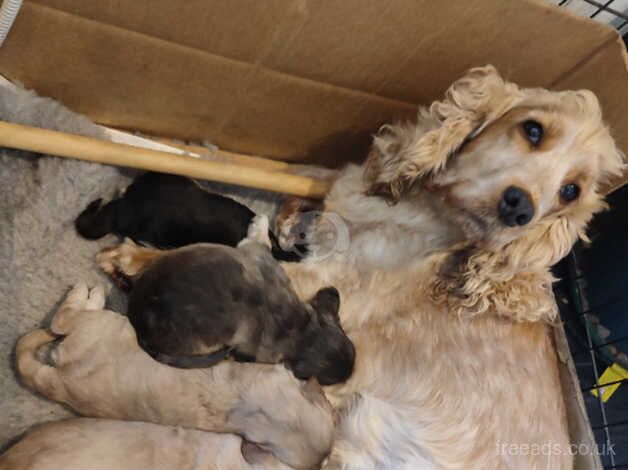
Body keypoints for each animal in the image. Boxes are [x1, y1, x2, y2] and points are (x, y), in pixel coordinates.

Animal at [107, 215, 354, 388]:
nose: (333, 291)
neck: (302, 332)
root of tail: (137, 320)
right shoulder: (262, 256)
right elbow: (261, 239)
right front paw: (260, 222)